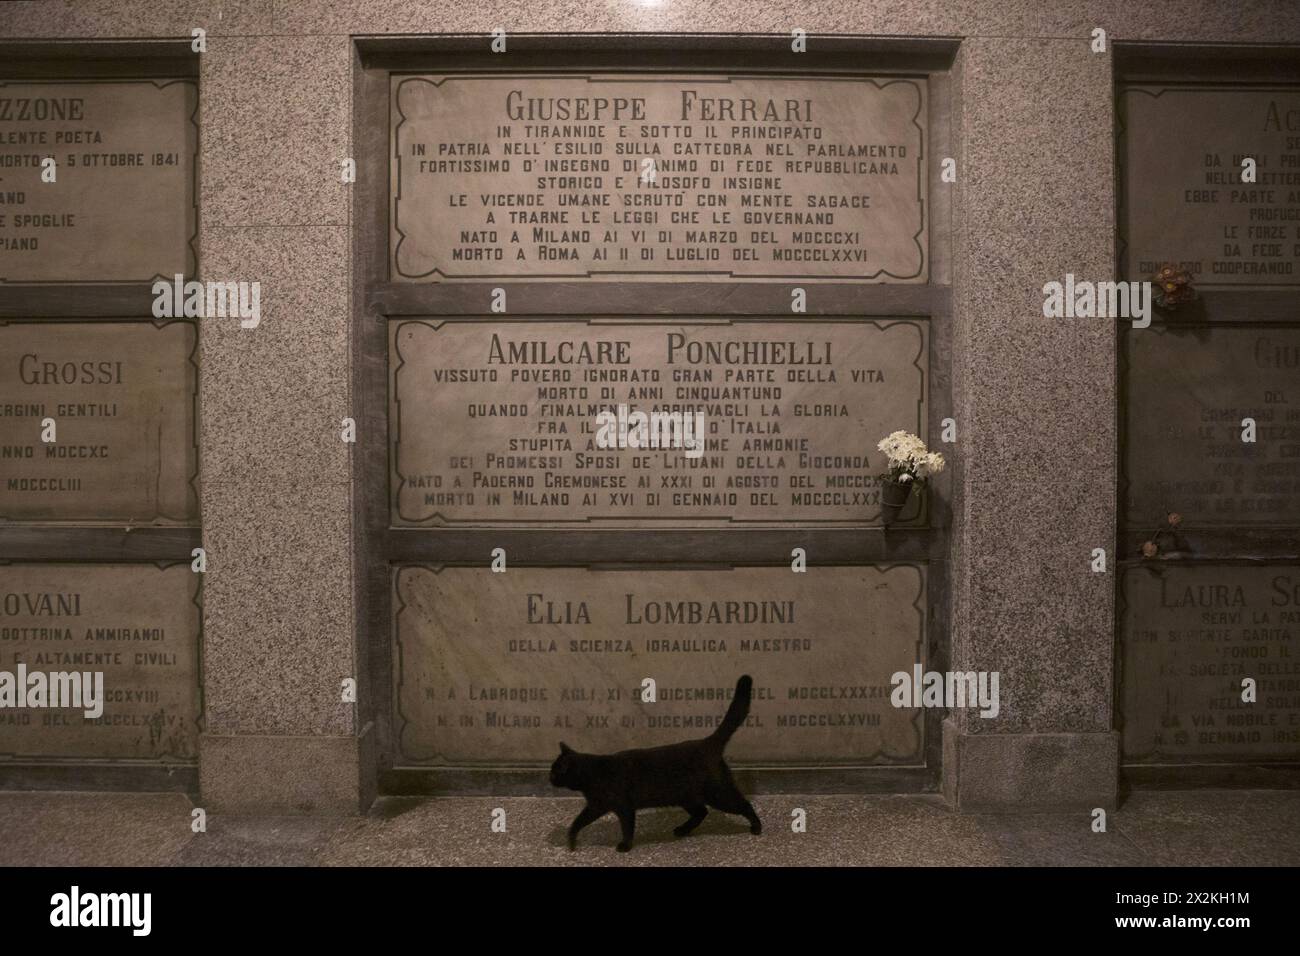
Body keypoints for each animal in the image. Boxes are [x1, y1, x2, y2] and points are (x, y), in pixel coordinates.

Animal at [551, 671, 759, 853]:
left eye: (555, 771)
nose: (549, 778)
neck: (592, 774)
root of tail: (708, 741)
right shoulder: (595, 806)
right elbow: (578, 821)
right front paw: (571, 841)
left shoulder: (623, 806)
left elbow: (627, 827)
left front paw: (625, 846)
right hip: (686, 796)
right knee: (701, 812)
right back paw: (682, 830)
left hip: (718, 794)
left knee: (744, 804)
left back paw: (757, 827)